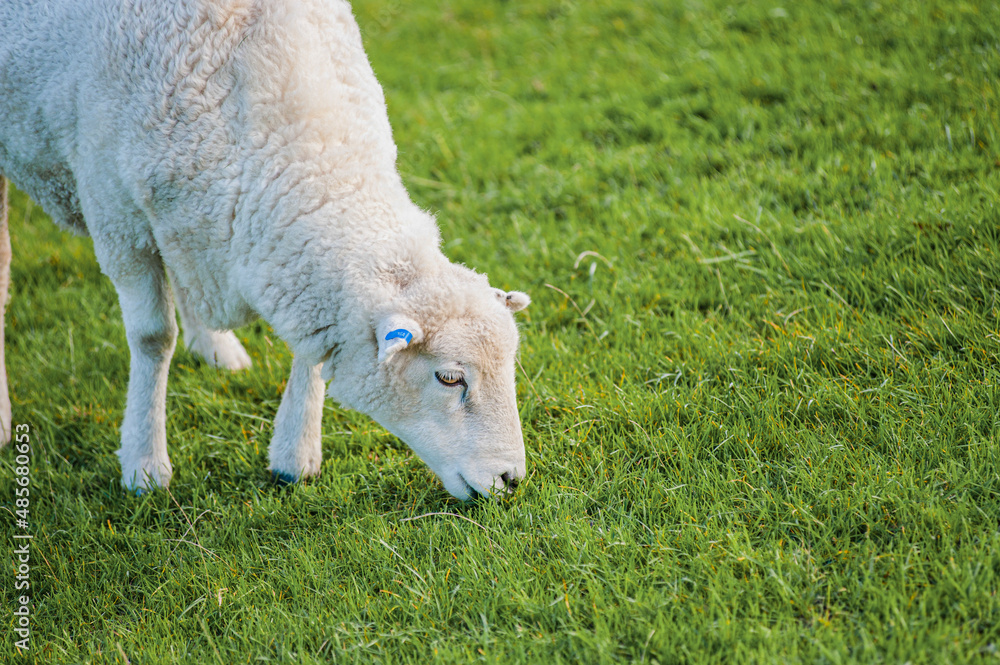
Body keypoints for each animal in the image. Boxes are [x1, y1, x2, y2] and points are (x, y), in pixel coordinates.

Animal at [0, 0, 531, 500]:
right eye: (449, 378)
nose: (511, 479)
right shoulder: (116, 214)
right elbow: (153, 338)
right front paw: (144, 464)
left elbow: (308, 345)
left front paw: (294, 457)